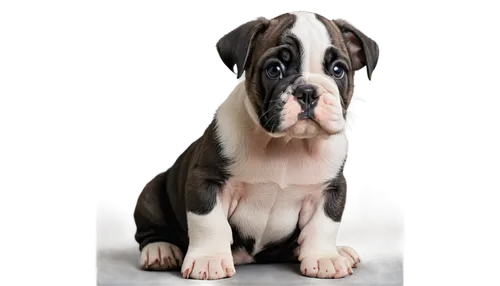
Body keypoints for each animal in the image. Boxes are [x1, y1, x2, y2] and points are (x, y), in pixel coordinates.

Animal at [133, 9, 382, 282]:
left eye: (338, 70)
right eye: (274, 70)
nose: (307, 91)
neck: (287, 144)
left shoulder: (331, 189)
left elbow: (324, 224)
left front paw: (324, 257)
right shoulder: (206, 181)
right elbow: (209, 222)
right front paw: (209, 259)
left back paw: (338, 251)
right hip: (151, 193)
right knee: (151, 230)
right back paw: (160, 250)